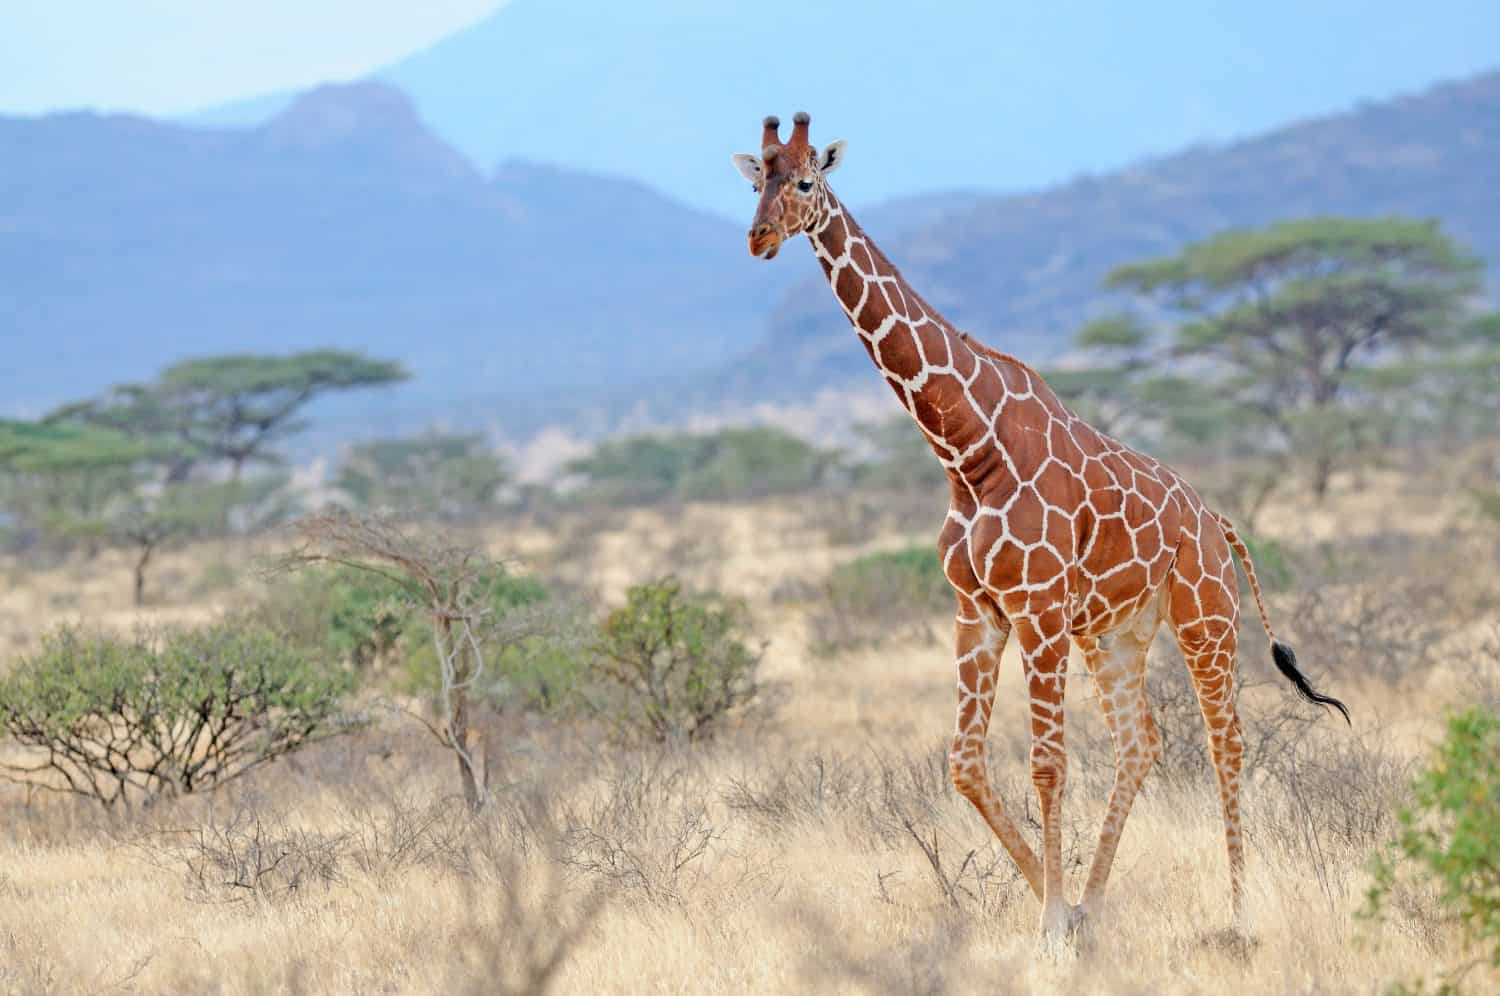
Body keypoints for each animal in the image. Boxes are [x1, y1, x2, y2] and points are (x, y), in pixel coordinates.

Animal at [733, 113, 1350, 940]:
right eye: (755, 179)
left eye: (804, 180)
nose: (760, 238)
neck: (967, 447)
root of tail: (1219, 519)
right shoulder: (979, 609)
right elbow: (965, 764)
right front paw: (1058, 908)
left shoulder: (1038, 609)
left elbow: (1047, 765)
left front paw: (1052, 922)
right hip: (1116, 632)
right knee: (1141, 742)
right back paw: (1097, 900)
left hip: (1205, 617)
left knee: (1227, 742)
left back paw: (1239, 912)